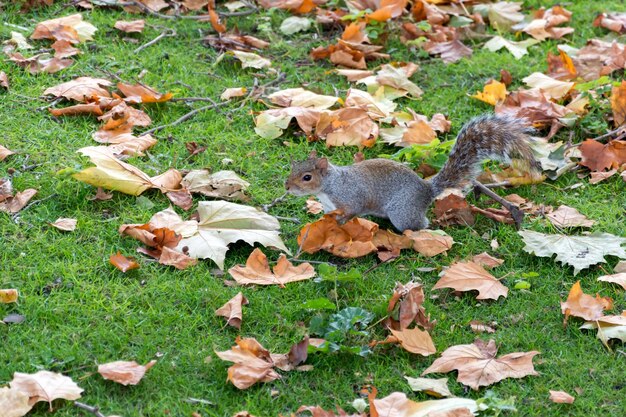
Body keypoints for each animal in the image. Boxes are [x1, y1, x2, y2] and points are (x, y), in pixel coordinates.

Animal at [286, 114, 540, 231]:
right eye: (293, 168)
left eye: (307, 177)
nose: (286, 186)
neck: (330, 186)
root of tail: (427, 190)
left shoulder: (351, 197)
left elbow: (353, 211)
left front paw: (340, 223)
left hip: (402, 212)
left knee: (420, 224)